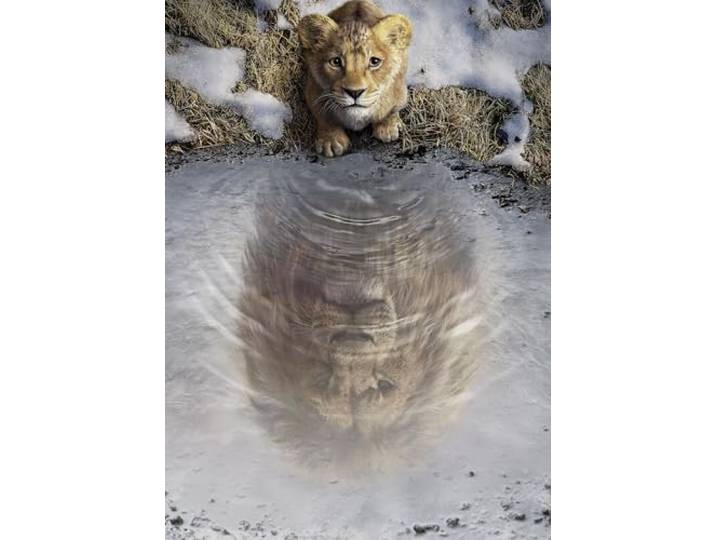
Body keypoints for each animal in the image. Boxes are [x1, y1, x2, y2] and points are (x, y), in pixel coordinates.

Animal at [297, 0, 412, 157]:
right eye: (336, 62)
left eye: (374, 61)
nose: (355, 92)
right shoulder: (313, 91)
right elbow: (324, 116)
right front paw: (330, 141)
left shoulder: (400, 91)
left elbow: (392, 110)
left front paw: (387, 128)